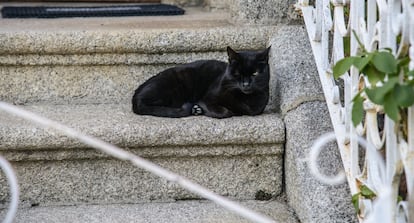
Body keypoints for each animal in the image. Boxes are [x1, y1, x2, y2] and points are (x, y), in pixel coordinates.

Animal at [131, 46, 270, 118]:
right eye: (237, 74)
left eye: (255, 73)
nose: (246, 84)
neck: (245, 99)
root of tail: (135, 97)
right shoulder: (207, 98)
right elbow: (225, 112)